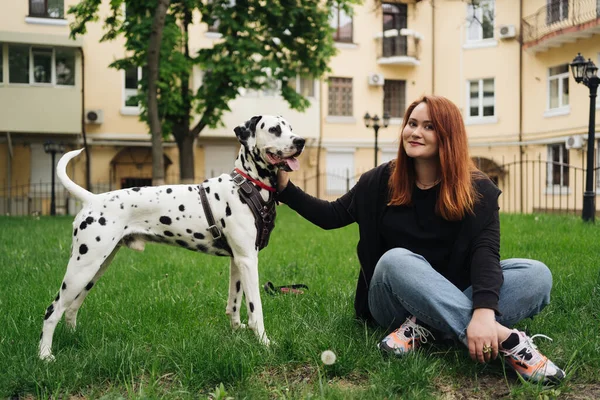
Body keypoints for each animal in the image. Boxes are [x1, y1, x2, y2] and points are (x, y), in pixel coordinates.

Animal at [38, 115, 304, 360]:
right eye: (274, 129)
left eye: (291, 127)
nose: (300, 141)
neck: (247, 186)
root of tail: (92, 199)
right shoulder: (249, 261)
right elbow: (255, 309)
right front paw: (264, 342)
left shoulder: (238, 260)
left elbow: (234, 303)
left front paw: (238, 331)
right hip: (82, 269)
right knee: (52, 310)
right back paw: (45, 355)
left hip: (94, 269)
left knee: (71, 308)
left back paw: (73, 339)